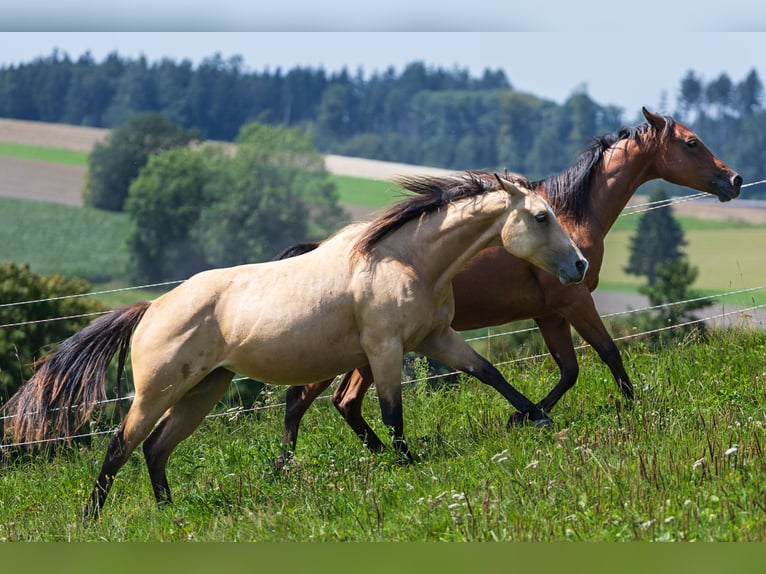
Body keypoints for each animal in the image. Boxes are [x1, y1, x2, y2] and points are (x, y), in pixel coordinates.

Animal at [2, 173, 587, 518]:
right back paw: (93, 517)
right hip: (157, 391)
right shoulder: (385, 348)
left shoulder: (435, 337)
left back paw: (171, 512)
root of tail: (150, 309)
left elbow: (489, 372)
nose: (579, 265)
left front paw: (536, 417)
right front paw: (407, 462)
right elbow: (391, 412)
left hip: (204, 389)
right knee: (120, 446)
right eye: (541, 217)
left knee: (155, 448)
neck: (406, 259)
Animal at [278, 107, 742, 461]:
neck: (570, 213)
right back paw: (293, 466)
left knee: (340, 401)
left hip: (369, 352)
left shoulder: (549, 314)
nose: (734, 180)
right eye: (691, 143)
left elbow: (569, 370)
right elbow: (609, 353)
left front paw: (523, 415)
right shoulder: (574, 302)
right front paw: (632, 407)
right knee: (309, 400)